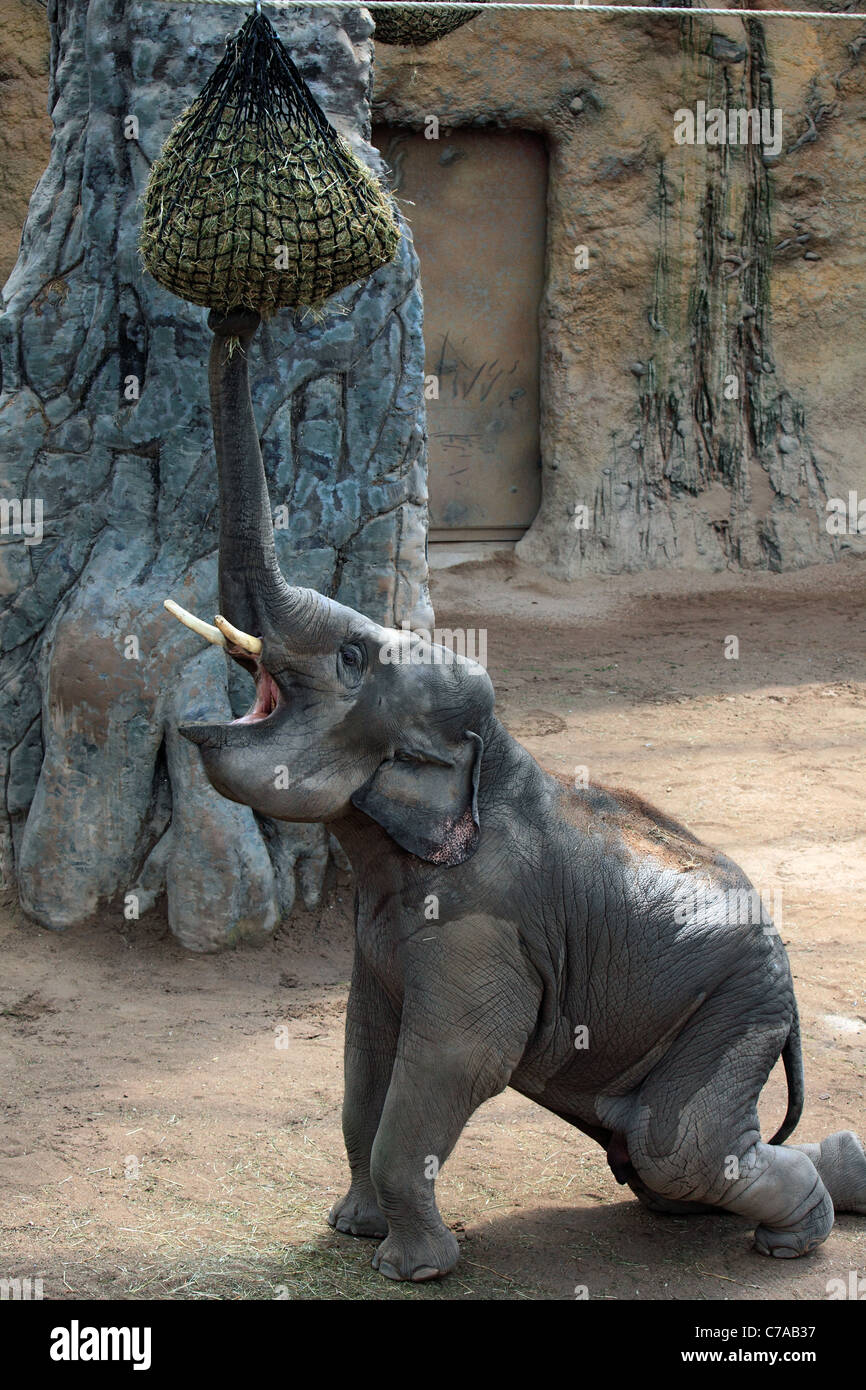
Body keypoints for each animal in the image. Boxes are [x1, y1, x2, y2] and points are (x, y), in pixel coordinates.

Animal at [164, 309, 866, 1284]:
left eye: (351, 656)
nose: (234, 319)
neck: (493, 758)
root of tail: (791, 996)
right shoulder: (385, 933)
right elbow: (362, 1057)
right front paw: (352, 1230)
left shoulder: (483, 923)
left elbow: (455, 1064)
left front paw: (413, 1270)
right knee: (676, 1165)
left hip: (737, 1007)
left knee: (676, 1150)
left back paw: (791, 1240)